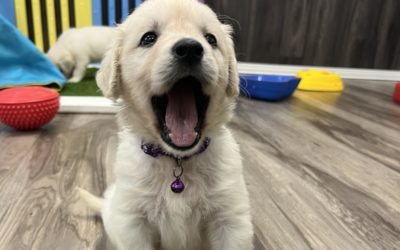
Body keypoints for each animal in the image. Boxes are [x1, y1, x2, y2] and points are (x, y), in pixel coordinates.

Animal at [78, 0, 253, 249]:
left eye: (210, 39)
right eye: (148, 38)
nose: (190, 49)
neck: (177, 160)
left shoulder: (230, 219)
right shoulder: (133, 222)